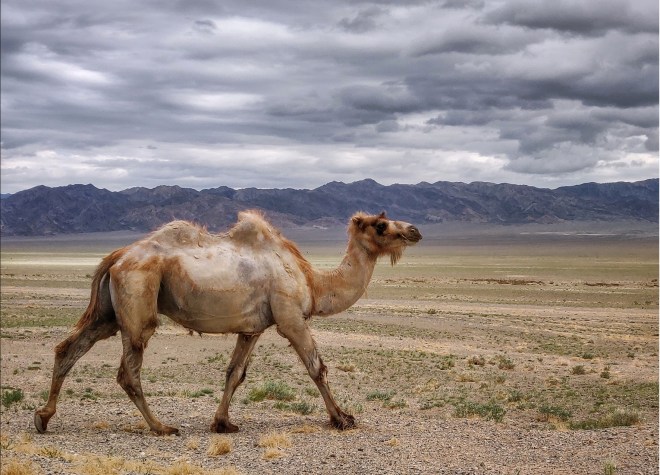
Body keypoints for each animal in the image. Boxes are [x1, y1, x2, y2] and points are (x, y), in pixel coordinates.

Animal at [34, 210, 422, 435]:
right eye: (381, 225)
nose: (415, 230)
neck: (313, 284)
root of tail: (116, 256)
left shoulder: (252, 328)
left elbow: (235, 373)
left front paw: (222, 423)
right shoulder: (290, 317)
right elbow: (317, 368)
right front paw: (342, 418)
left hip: (108, 312)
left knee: (69, 348)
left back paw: (43, 417)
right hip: (137, 298)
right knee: (128, 370)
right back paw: (162, 427)